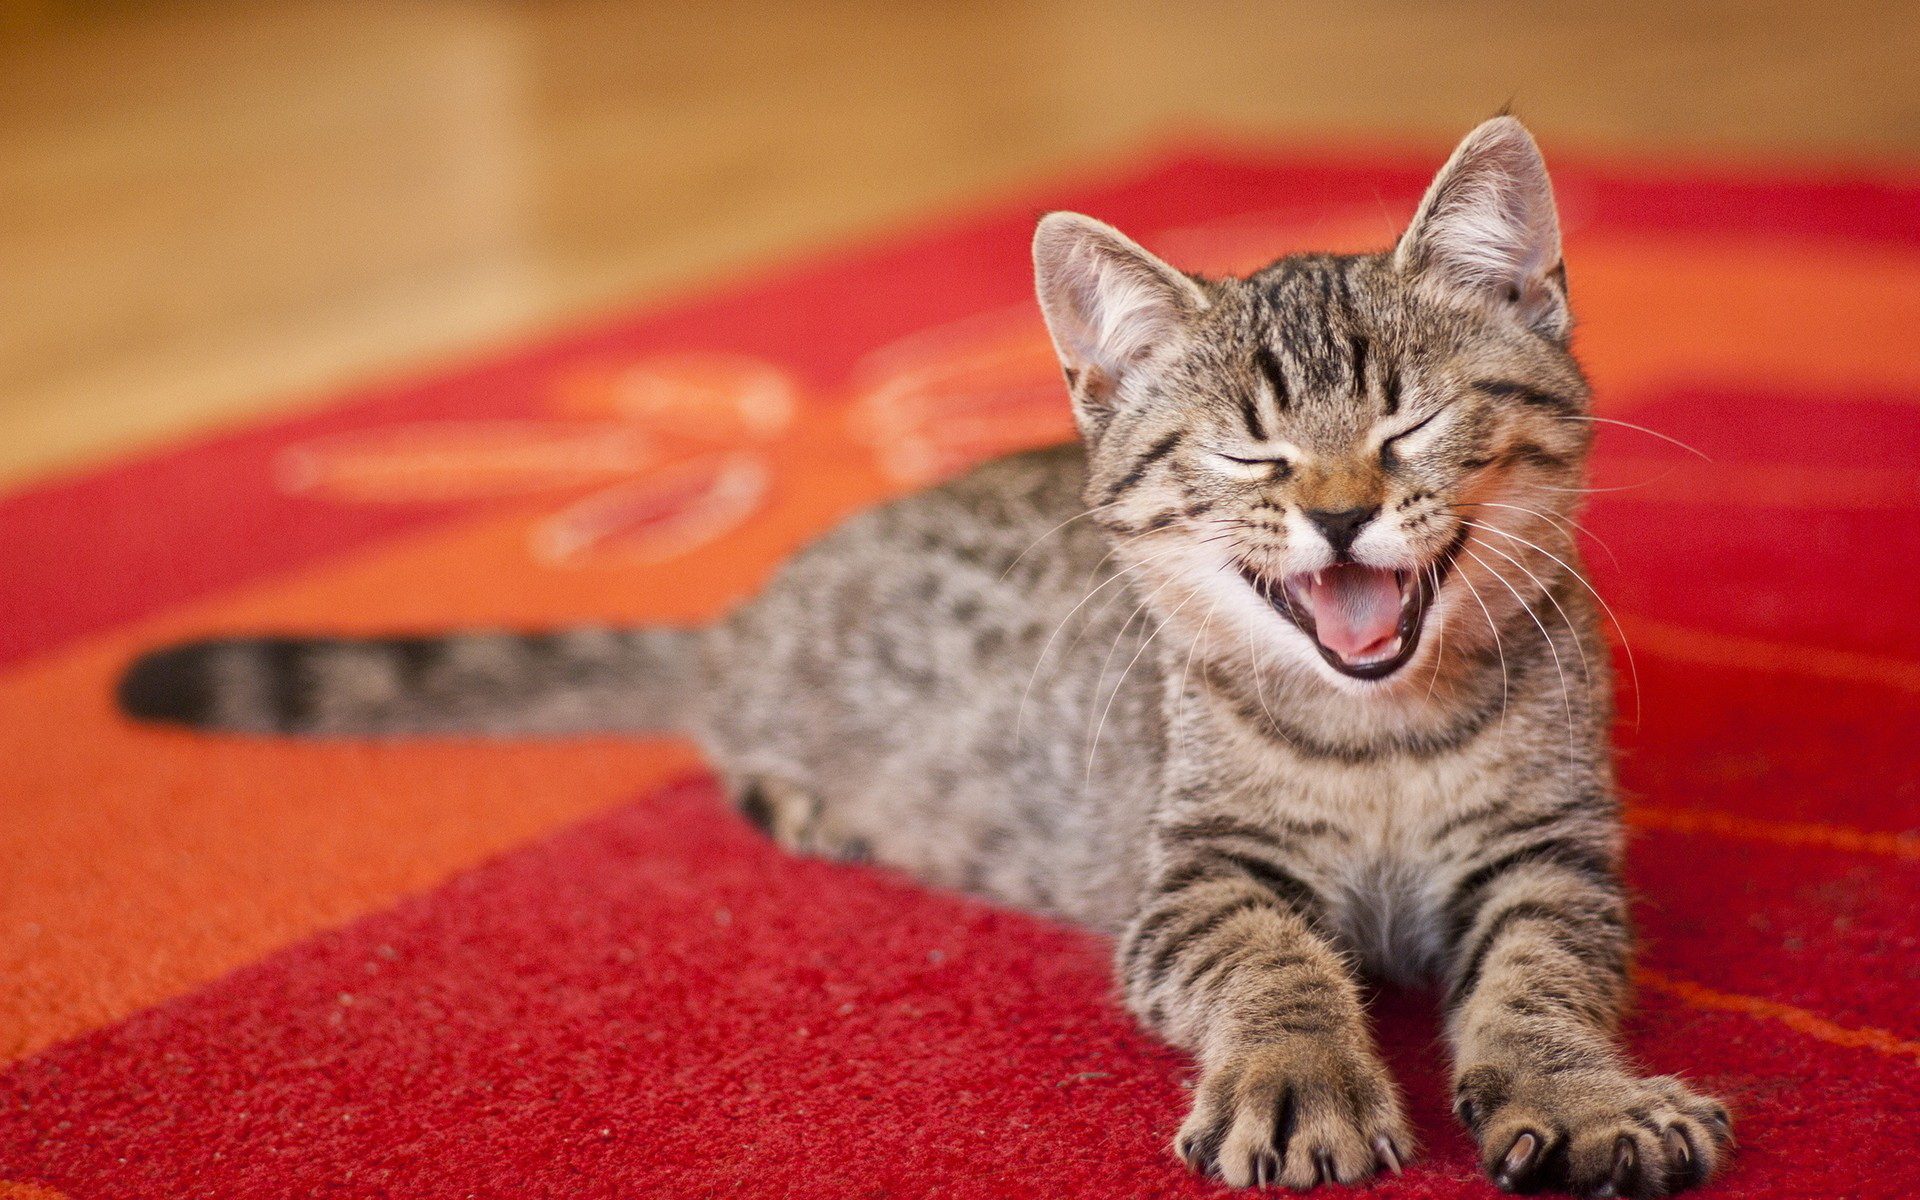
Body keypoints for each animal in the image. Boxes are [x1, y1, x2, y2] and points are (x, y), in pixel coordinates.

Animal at [127, 119, 1735, 1190]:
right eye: (1249, 452)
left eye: (1408, 423)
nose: (1339, 513)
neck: (1384, 732)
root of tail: (752, 608)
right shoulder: (1188, 880)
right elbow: (1271, 957)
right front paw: (1299, 1075)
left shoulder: (1553, 854)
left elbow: (1544, 977)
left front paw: (1584, 1098)